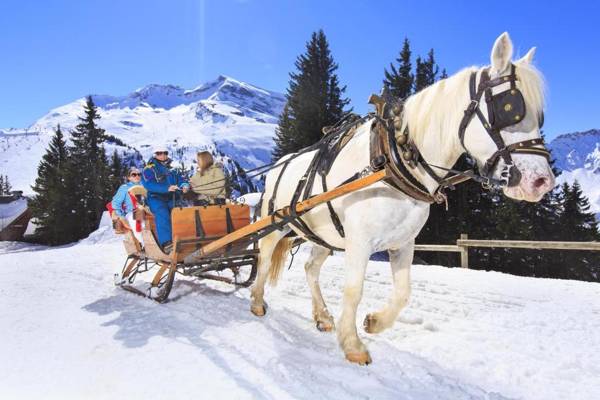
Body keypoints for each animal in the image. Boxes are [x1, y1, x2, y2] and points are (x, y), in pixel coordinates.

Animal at [247, 32, 552, 364]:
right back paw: (258, 301)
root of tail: (279, 164)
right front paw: (352, 344)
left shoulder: (403, 242)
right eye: (509, 106)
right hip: (275, 224)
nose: (542, 182)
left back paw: (323, 315)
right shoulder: (359, 241)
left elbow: (404, 292)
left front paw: (375, 322)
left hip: (323, 236)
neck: (391, 161)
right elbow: (354, 290)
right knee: (264, 257)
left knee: (310, 268)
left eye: (540, 116)